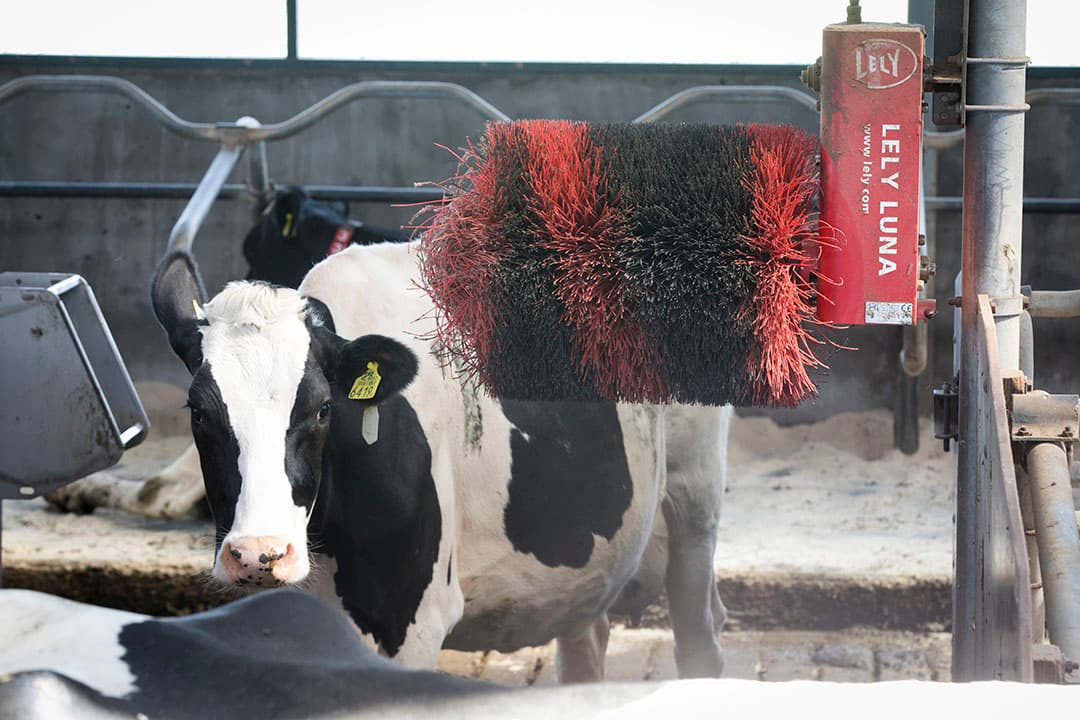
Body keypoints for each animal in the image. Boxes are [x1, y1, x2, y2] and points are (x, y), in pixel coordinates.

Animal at [145, 237, 729, 681]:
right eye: (198, 412)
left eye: (323, 408)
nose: (259, 553)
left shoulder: (413, 621)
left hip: (696, 496)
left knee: (699, 634)